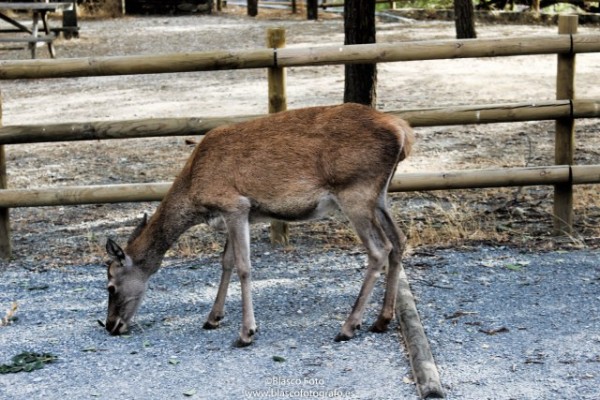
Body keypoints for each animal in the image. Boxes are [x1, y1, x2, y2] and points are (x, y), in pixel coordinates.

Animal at [104, 103, 412, 346]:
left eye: (110, 286)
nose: (110, 325)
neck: (194, 192)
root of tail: (404, 132)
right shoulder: (240, 214)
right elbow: (226, 261)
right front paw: (213, 318)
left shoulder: (234, 205)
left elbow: (244, 266)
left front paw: (246, 332)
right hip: (380, 196)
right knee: (398, 240)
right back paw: (381, 320)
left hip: (354, 191)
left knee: (379, 249)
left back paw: (348, 327)